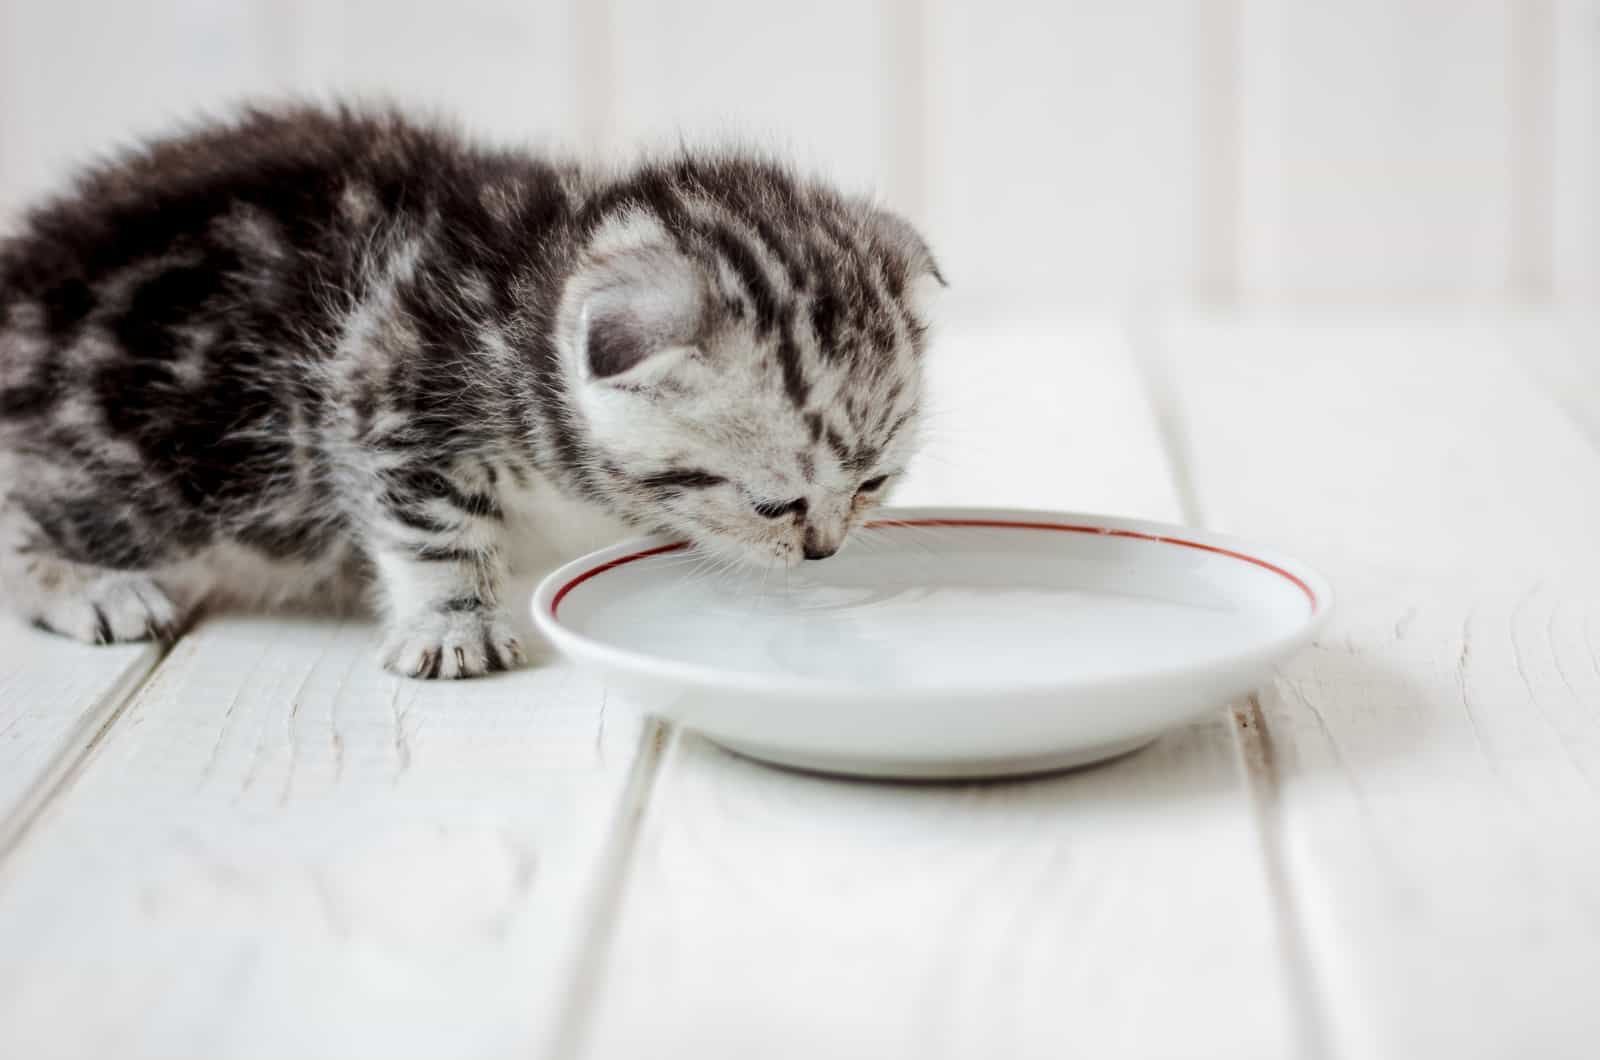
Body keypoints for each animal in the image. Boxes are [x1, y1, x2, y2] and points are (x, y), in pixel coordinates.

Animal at [0, 105, 940, 682]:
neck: (523, 304)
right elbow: (436, 531)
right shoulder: (385, 390)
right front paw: (454, 625)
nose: (822, 553)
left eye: (872, 484)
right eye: (773, 503)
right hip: (156, 472)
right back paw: (93, 589)